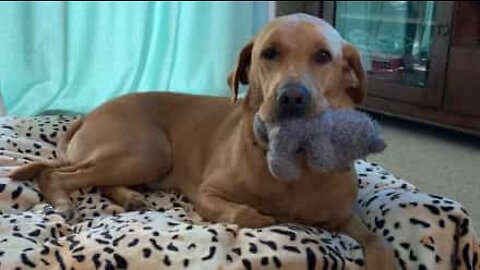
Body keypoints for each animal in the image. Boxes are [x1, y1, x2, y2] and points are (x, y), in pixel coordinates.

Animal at [11, 13, 398, 268]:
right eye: (269, 53)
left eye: (323, 56)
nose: (292, 97)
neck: (293, 163)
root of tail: (90, 114)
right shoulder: (209, 193)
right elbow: (243, 213)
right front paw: (261, 217)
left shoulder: (343, 217)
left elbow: (377, 240)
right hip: (149, 150)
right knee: (57, 174)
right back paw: (63, 199)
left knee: (95, 180)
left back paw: (130, 196)